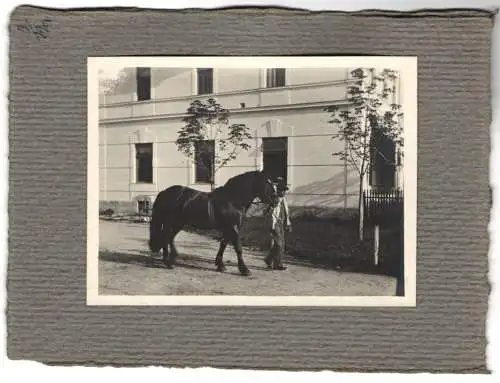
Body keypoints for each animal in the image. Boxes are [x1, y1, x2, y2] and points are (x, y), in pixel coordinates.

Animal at [148, 171, 282, 276]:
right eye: (267, 184)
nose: (276, 201)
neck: (233, 199)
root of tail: (164, 192)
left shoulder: (228, 228)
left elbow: (223, 244)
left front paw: (220, 265)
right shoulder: (233, 227)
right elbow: (238, 248)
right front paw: (244, 270)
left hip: (178, 223)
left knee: (169, 238)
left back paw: (172, 259)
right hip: (170, 223)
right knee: (166, 238)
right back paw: (168, 262)